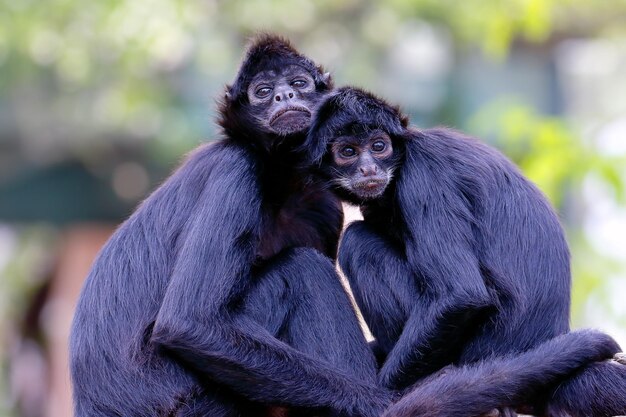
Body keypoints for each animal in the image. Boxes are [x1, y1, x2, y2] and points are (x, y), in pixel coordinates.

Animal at [304, 85, 624, 416]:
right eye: (348, 152)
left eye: (379, 146)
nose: (368, 168)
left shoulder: (424, 173)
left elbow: (460, 295)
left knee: (359, 243)